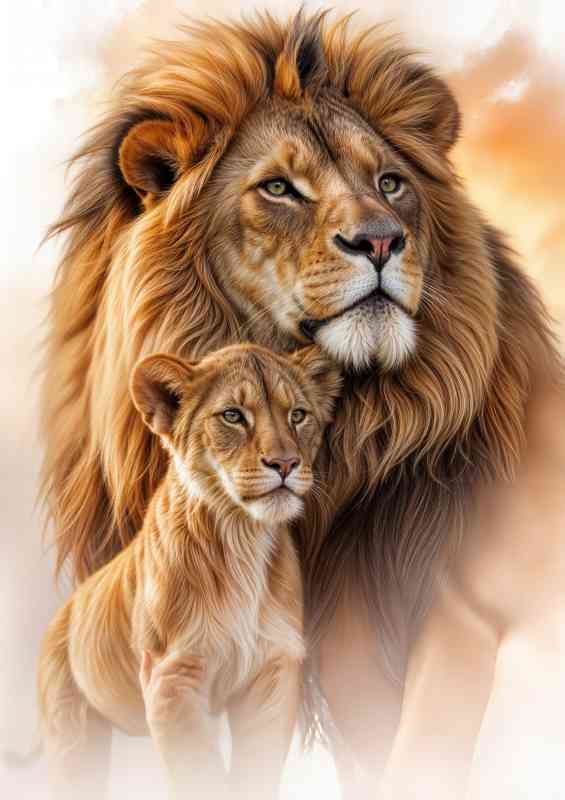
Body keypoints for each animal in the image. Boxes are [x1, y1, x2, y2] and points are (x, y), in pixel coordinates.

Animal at [38, 342, 340, 799]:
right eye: (233, 415)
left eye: (298, 415)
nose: (285, 464)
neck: (242, 537)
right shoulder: (172, 674)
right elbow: (200, 774)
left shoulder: (274, 670)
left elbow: (255, 771)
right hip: (71, 733)